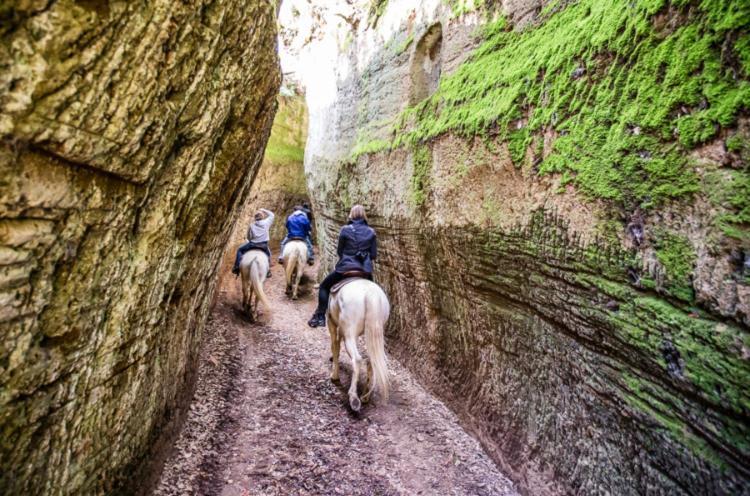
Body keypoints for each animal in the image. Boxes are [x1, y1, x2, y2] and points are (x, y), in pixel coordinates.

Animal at [328, 280, 394, 410]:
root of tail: (371, 294)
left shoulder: (331, 322)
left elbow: (335, 346)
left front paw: (334, 376)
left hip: (349, 334)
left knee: (357, 359)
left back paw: (354, 398)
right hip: (372, 333)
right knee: (371, 361)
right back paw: (365, 396)